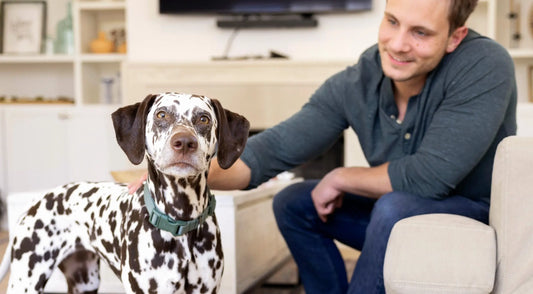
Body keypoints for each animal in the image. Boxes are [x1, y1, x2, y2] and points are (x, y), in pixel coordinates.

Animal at [0, 92, 249, 294]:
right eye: (161, 115)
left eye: (203, 119)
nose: (185, 142)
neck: (179, 220)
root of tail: (37, 200)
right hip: (26, 280)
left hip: (84, 281)